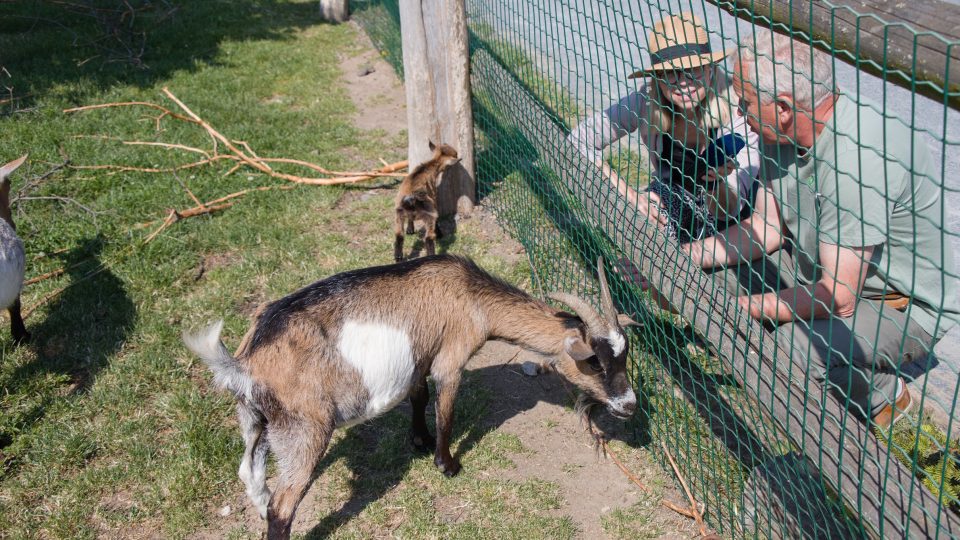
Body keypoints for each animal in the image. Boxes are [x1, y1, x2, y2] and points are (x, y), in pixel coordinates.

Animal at [185, 254, 640, 540]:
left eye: (625, 355)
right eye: (595, 361)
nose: (630, 405)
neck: (472, 296)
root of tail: (245, 363)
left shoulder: (421, 357)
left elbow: (419, 398)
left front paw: (418, 441)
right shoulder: (451, 358)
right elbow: (446, 411)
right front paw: (447, 464)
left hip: (255, 421)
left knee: (251, 477)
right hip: (305, 429)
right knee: (282, 507)